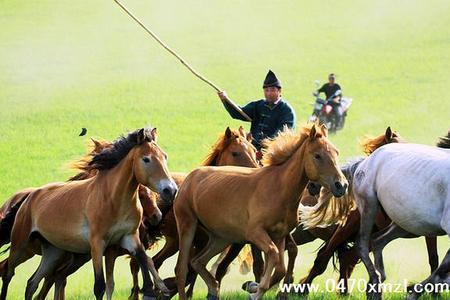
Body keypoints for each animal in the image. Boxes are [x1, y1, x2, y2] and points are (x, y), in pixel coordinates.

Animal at [0, 127, 178, 300]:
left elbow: (142, 259)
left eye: (165, 156)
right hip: (20, 245)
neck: (112, 199)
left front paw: (152, 290)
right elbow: (100, 286)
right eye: (146, 159)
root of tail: (29, 197)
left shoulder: (128, 238)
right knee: (9, 273)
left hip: (53, 252)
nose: (170, 190)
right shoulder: (97, 244)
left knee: (32, 283)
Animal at [173, 123, 348, 298]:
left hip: (221, 238)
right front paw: (255, 289)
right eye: (317, 155)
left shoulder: (279, 236)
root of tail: (190, 177)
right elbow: (271, 255)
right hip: (187, 225)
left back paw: (213, 288)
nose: (341, 185)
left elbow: (280, 268)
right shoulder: (255, 233)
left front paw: (253, 287)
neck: (278, 188)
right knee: (182, 269)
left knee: (197, 261)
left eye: (336, 152)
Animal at [354, 141, 448, 300]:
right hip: (369, 206)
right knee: (362, 244)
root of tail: (366, 161)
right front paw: (412, 292)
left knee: (378, 240)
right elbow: (441, 272)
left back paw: (377, 283)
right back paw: (375, 284)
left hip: (406, 223)